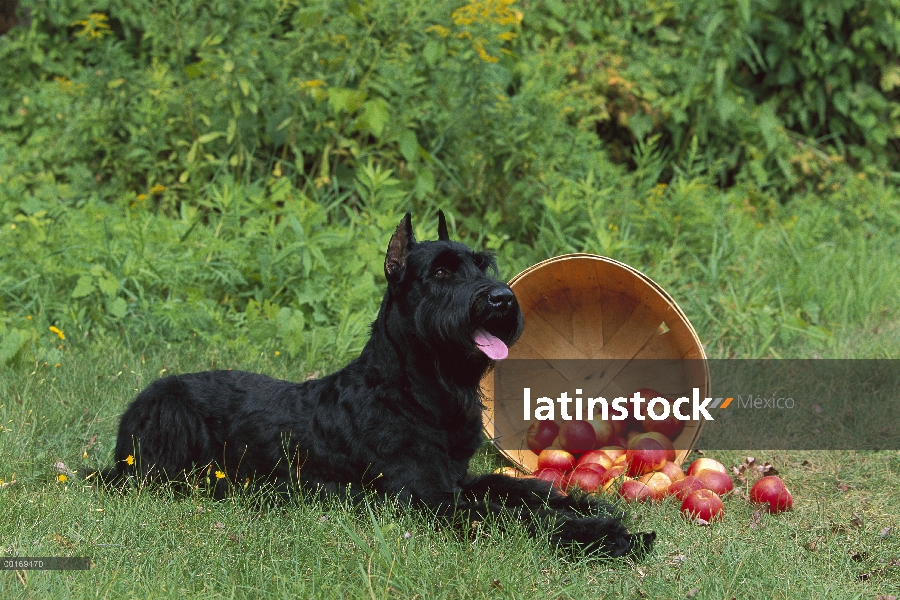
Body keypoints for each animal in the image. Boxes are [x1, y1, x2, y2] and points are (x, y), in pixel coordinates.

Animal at [95, 212, 652, 556]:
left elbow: (519, 489)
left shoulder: (455, 479)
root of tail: (125, 429)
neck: (418, 392)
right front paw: (602, 535)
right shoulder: (428, 498)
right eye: (442, 272)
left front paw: (584, 505)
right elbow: (511, 514)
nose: (500, 300)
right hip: (170, 431)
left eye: (483, 263)